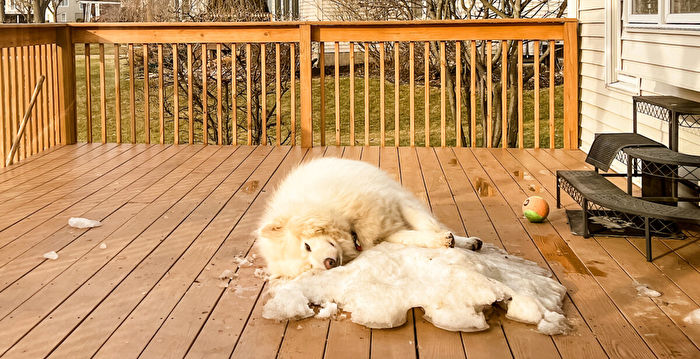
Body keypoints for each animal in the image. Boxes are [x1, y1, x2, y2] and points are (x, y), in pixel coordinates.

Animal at [258, 159, 482, 280]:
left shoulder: (396, 201)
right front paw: (441, 242)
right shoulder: (388, 231)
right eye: (310, 267)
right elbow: (415, 237)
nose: (329, 264)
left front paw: (450, 241)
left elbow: (429, 225)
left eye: (307, 246)